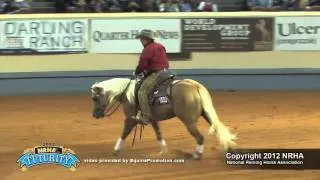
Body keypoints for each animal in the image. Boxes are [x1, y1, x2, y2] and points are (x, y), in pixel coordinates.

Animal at [90, 77, 238, 159]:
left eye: (95, 98)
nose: (94, 115)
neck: (128, 94)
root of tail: (195, 86)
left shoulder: (130, 118)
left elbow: (124, 133)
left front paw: (115, 150)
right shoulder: (152, 119)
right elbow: (158, 133)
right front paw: (163, 150)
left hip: (188, 121)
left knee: (199, 137)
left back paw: (197, 154)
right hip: (206, 115)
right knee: (218, 130)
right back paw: (228, 148)